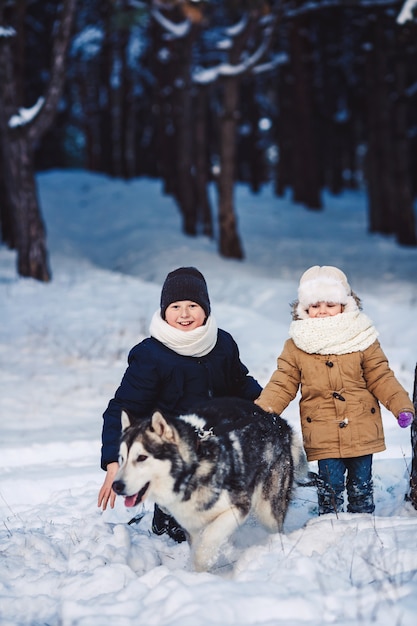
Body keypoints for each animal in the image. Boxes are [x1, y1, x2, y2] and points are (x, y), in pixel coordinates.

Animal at [112, 398, 304, 568]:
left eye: (142, 457)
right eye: (121, 458)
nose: (116, 486)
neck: (193, 469)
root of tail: (277, 420)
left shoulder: (238, 507)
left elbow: (209, 539)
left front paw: (205, 563)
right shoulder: (191, 524)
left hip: (267, 511)